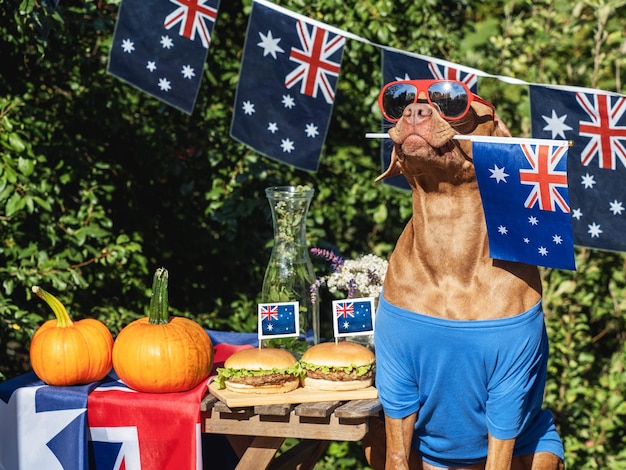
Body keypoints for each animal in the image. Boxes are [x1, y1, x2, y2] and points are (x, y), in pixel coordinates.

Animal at [368, 82, 564, 468]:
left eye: (454, 103)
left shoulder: (510, 384)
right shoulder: (397, 379)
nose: (414, 111)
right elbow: (397, 453)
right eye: (402, 100)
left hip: (545, 444)